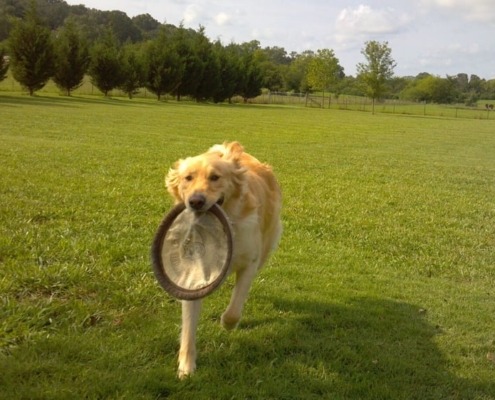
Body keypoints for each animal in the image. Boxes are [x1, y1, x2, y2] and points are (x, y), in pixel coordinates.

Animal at [166, 141, 282, 378]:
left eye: (215, 177)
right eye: (188, 178)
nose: (196, 201)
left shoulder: (249, 262)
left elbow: (234, 310)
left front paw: (226, 324)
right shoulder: (191, 276)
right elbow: (189, 325)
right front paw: (186, 366)